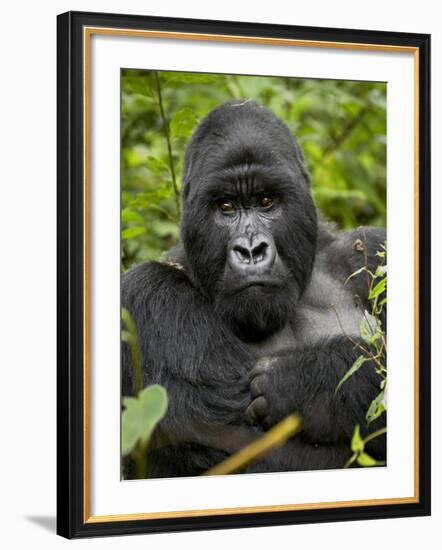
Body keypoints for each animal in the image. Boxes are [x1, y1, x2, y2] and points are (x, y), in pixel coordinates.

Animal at [121, 101, 386, 480]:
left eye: (265, 201)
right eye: (226, 206)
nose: (250, 250)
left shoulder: (372, 252)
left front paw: (310, 384)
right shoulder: (147, 296)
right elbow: (244, 448)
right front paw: (334, 384)